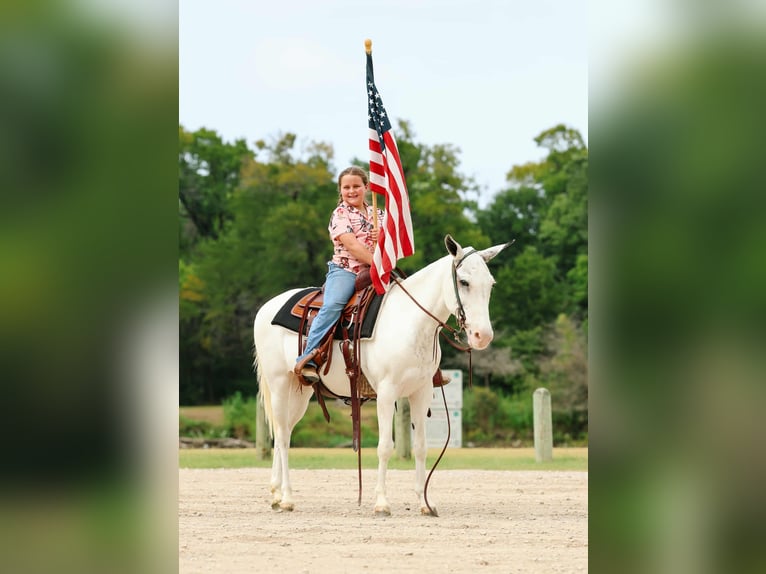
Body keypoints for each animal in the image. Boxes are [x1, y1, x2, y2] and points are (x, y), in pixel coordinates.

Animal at [253, 234, 509, 515]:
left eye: (490, 284)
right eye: (464, 282)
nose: (482, 336)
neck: (411, 321)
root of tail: (266, 307)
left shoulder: (421, 393)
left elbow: (420, 447)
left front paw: (424, 503)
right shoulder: (387, 393)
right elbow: (385, 447)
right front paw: (382, 503)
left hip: (301, 391)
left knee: (284, 432)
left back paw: (276, 494)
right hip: (279, 383)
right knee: (282, 437)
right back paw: (287, 497)